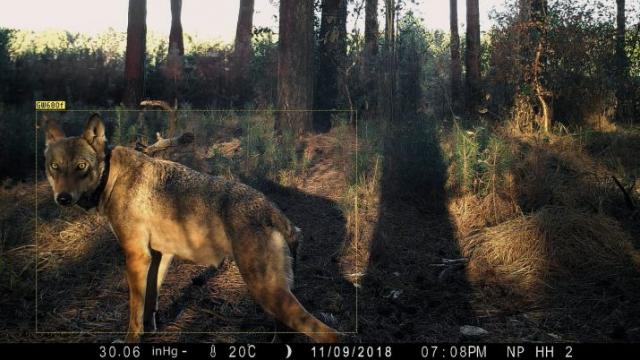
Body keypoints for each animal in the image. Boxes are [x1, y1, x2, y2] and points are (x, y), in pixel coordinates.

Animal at [42, 113, 340, 344]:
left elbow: (134, 311)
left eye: (81, 166)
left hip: (267, 292)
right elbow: (150, 304)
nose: (62, 199)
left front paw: (130, 340)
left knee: (330, 334)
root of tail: (278, 215)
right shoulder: (158, 256)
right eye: (54, 167)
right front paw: (150, 332)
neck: (111, 178)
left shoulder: (136, 256)